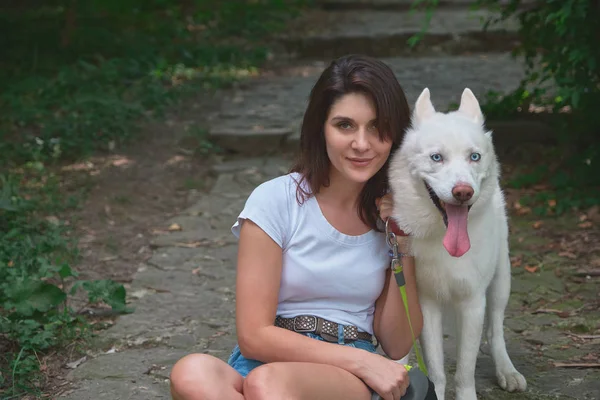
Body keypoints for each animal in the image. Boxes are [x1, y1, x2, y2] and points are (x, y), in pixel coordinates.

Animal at [390, 88, 524, 400]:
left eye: (474, 157)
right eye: (437, 157)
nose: (463, 192)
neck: (444, 239)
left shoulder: (473, 302)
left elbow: (465, 370)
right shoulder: (426, 303)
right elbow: (437, 368)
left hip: (501, 281)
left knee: (495, 331)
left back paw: (507, 371)